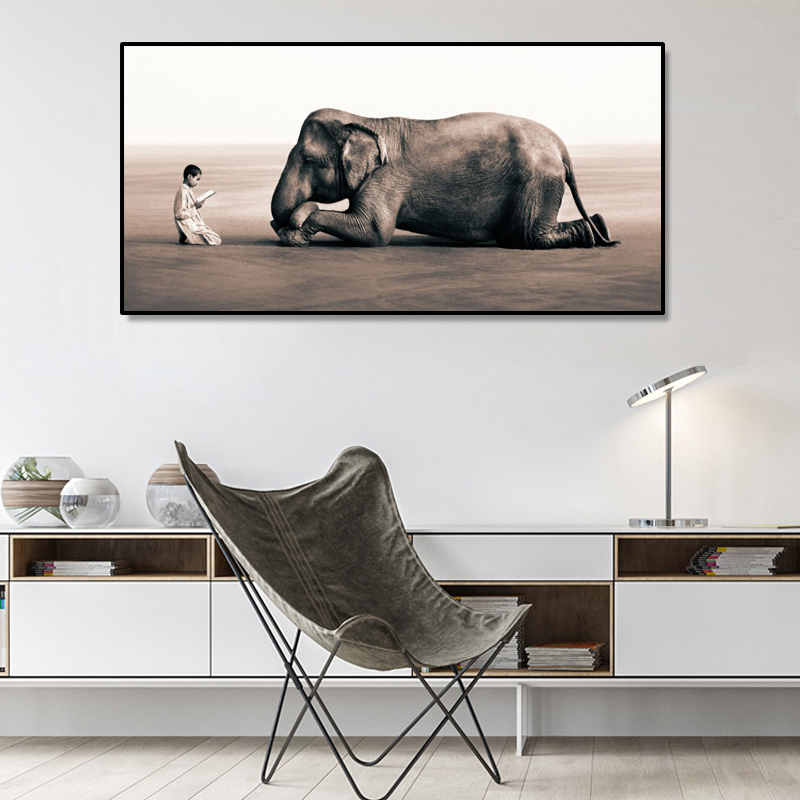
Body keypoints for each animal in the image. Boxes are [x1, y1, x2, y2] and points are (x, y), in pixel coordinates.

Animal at [270, 109, 618, 251]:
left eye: (309, 160)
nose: (278, 222)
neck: (365, 120)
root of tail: (560, 146)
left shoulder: (386, 178)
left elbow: (373, 232)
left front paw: (296, 228)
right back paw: (599, 227)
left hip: (537, 180)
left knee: (526, 237)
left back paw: (593, 233)